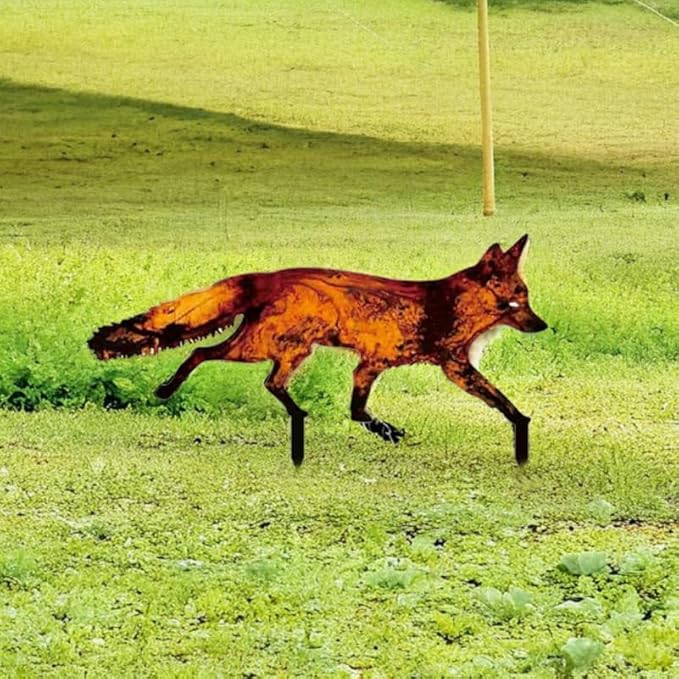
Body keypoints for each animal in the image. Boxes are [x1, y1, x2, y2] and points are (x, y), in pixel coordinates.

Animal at [89, 234, 547, 466]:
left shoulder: (372, 365)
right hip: (262, 346)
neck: (448, 307)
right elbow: (500, 399)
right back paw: (167, 389)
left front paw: (384, 431)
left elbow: (358, 411)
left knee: (269, 382)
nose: (542, 326)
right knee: (200, 354)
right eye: (515, 303)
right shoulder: (431, 365)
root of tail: (266, 276)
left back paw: (294, 413)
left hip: (287, 351)